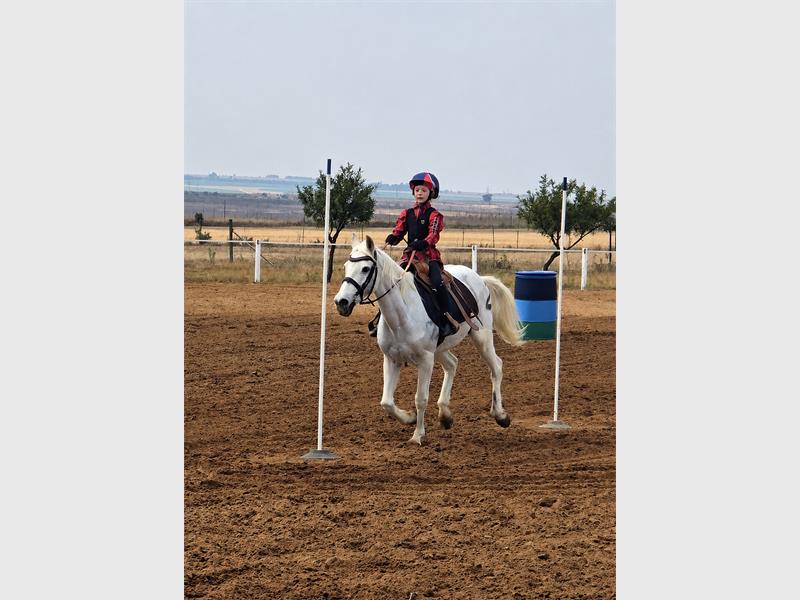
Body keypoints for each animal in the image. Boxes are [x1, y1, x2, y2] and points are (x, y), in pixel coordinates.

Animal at [333, 235, 524, 445]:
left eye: (366, 268)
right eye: (346, 266)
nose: (341, 302)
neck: (402, 314)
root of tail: (479, 279)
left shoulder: (425, 360)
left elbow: (421, 398)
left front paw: (418, 435)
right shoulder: (391, 359)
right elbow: (386, 402)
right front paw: (409, 418)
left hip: (481, 337)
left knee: (496, 366)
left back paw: (500, 415)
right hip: (439, 349)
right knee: (452, 364)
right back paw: (445, 415)